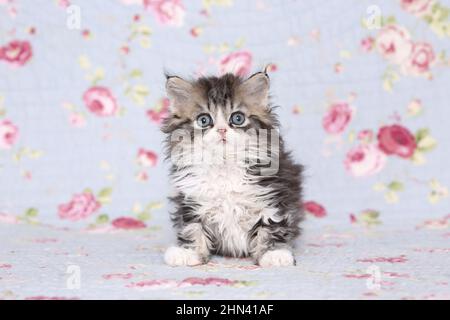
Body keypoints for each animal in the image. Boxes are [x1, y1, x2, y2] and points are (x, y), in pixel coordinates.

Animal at [160, 71, 304, 266]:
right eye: (204, 120)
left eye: (237, 118)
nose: (222, 130)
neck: (224, 164)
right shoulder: (191, 200)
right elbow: (192, 227)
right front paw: (188, 253)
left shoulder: (272, 195)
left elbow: (270, 226)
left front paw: (274, 254)